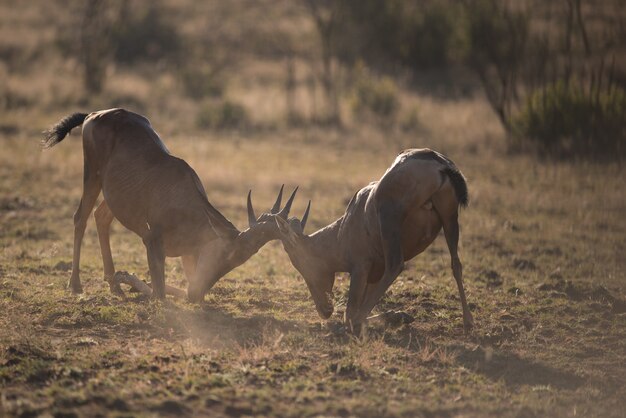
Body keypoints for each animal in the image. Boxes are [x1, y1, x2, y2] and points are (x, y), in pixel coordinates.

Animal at [44, 108, 298, 300]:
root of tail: (94, 114)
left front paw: (124, 280)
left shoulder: (188, 253)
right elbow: (159, 294)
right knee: (80, 217)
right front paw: (129, 280)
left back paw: (114, 286)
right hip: (92, 175)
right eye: (226, 254)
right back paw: (76, 285)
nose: (197, 294)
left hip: (114, 195)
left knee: (101, 217)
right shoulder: (151, 241)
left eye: (238, 261)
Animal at [274, 149, 472, 334]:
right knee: (456, 264)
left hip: (390, 218)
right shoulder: (373, 275)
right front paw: (401, 316)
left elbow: (349, 313)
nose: (324, 310)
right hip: (450, 219)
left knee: (396, 265)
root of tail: (437, 163)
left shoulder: (361, 268)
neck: (345, 225)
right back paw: (467, 323)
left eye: (297, 259)